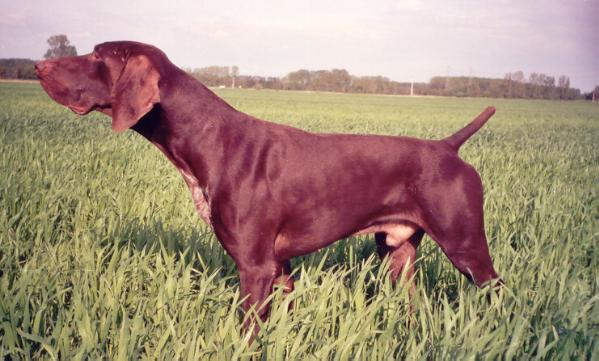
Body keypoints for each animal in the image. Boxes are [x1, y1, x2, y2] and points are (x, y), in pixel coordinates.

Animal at [34, 41, 502, 330]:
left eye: (97, 56)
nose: (38, 65)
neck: (211, 140)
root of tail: (447, 146)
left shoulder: (255, 266)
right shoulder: (279, 267)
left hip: (466, 247)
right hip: (398, 256)